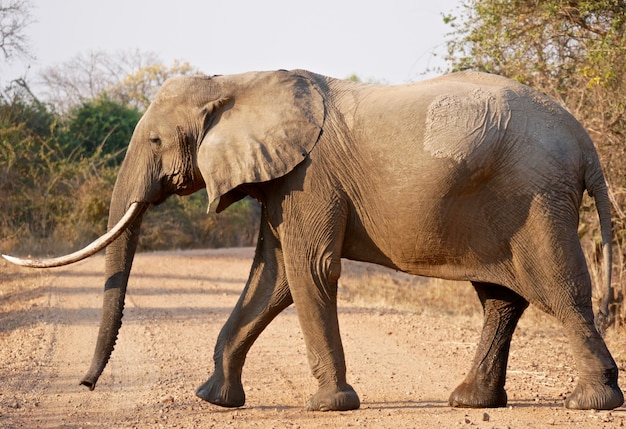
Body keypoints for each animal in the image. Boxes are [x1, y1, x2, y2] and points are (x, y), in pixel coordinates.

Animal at [2, 68, 620, 410]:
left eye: (154, 141)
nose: (85, 386)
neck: (237, 82)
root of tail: (586, 142)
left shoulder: (309, 176)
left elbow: (309, 269)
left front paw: (329, 406)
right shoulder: (283, 179)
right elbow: (271, 275)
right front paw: (213, 399)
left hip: (536, 198)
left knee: (559, 291)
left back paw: (591, 402)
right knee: (501, 298)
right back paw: (470, 400)